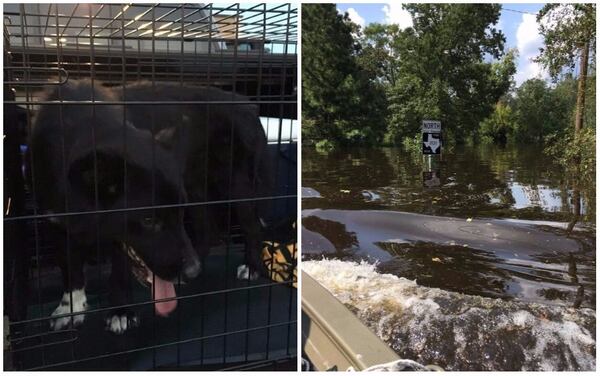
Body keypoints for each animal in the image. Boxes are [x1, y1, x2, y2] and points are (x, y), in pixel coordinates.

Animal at [29, 81, 270, 334]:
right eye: (148, 220)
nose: (191, 271)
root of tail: (245, 102)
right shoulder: (56, 223)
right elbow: (70, 270)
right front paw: (71, 308)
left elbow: (120, 272)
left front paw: (121, 312)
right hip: (194, 187)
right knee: (208, 228)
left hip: (236, 183)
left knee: (252, 226)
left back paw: (250, 266)